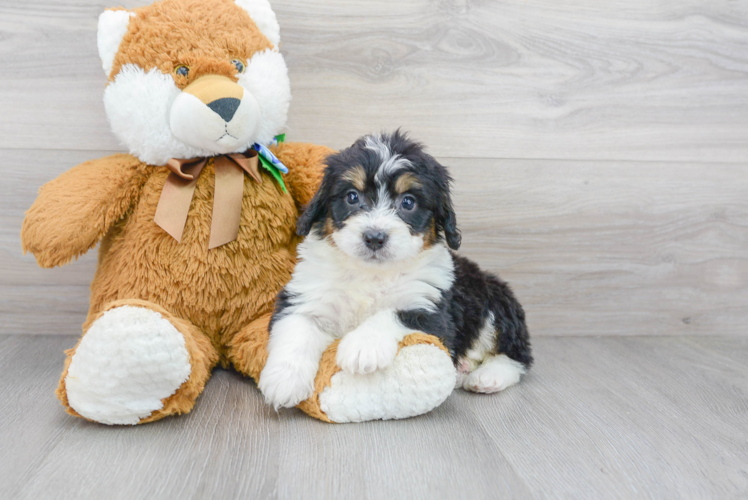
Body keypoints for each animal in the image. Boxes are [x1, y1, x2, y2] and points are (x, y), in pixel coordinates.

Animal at [260, 131, 536, 408]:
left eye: (408, 202)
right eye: (352, 197)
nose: (374, 237)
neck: (371, 273)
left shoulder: (432, 308)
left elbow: (394, 314)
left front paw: (363, 346)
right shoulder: (305, 295)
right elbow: (297, 328)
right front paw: (284, 380)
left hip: (497, 303)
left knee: (518, 355)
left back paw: (488, 377)